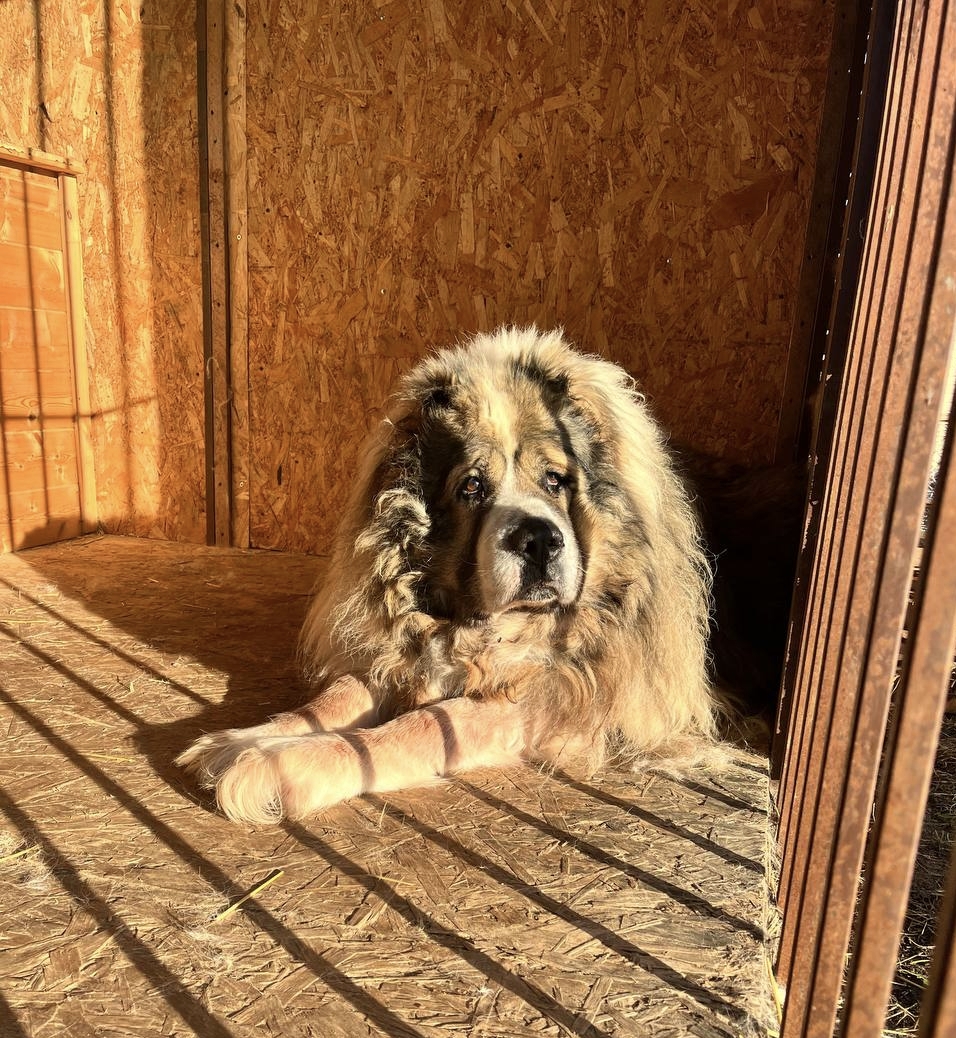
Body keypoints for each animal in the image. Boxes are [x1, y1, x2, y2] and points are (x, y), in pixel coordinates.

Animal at [179, 326, 792, 824]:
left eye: (556, 480)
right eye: (472, 486)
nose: (538, 538)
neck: (480, 628)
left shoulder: (542, 695)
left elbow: (420, 725)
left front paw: (269, 767)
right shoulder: (403, 655)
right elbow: (330, 701)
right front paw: (240, 741)